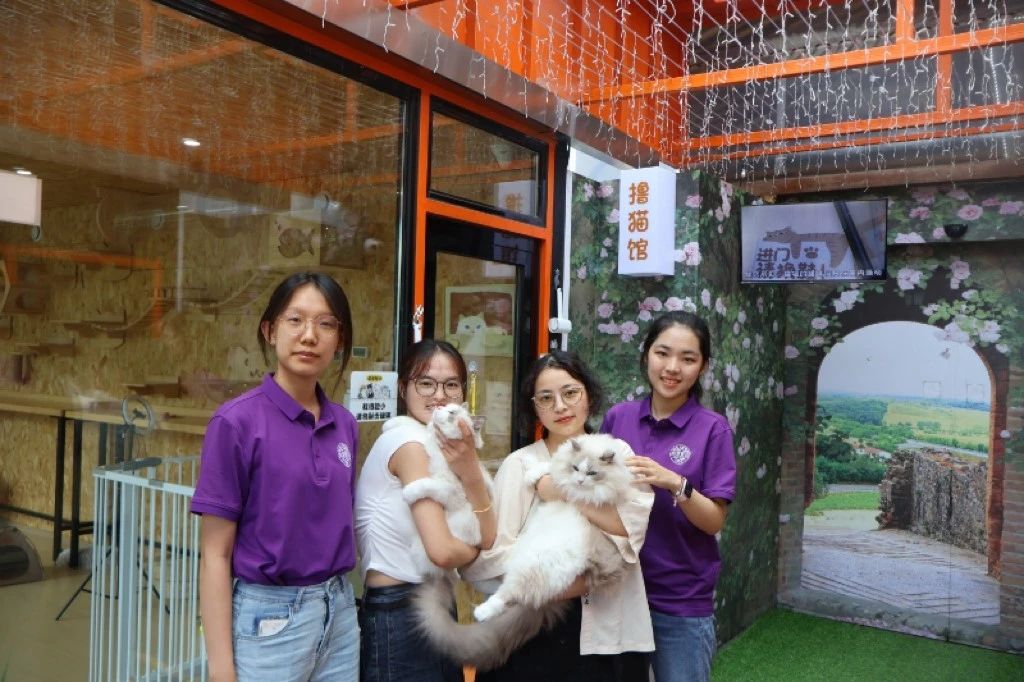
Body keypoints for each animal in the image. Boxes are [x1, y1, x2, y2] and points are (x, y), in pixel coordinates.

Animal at [385, 402, 490, 576]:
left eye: (452, 412)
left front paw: (408, 492)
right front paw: (389, 424)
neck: (437, 447)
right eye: (445, 406)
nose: (438, 407)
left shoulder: (452, 491)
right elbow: (413, 424)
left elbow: (428, 485)